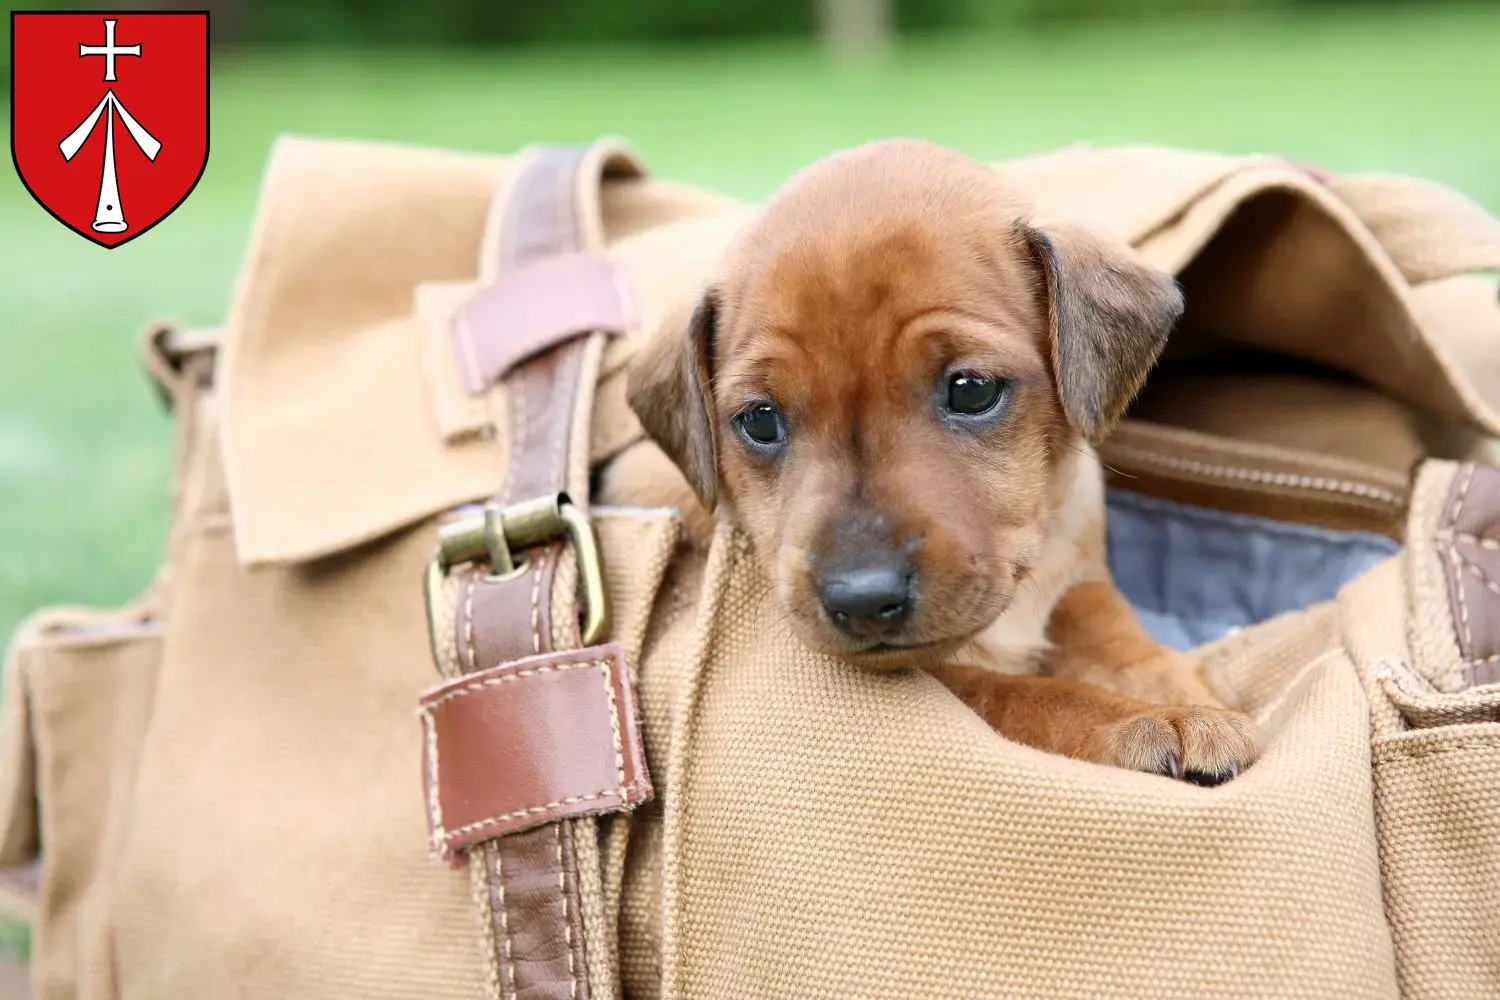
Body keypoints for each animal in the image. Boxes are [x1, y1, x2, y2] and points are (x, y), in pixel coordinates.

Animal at [603, 138, 1260, 779]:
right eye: (760, 420)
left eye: (972, 390)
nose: (861, 598)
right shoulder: (946, 684)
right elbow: (1025, 696)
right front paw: (1145, 719)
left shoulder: (1079, 571)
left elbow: (1106, 622)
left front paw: (1175, 687)